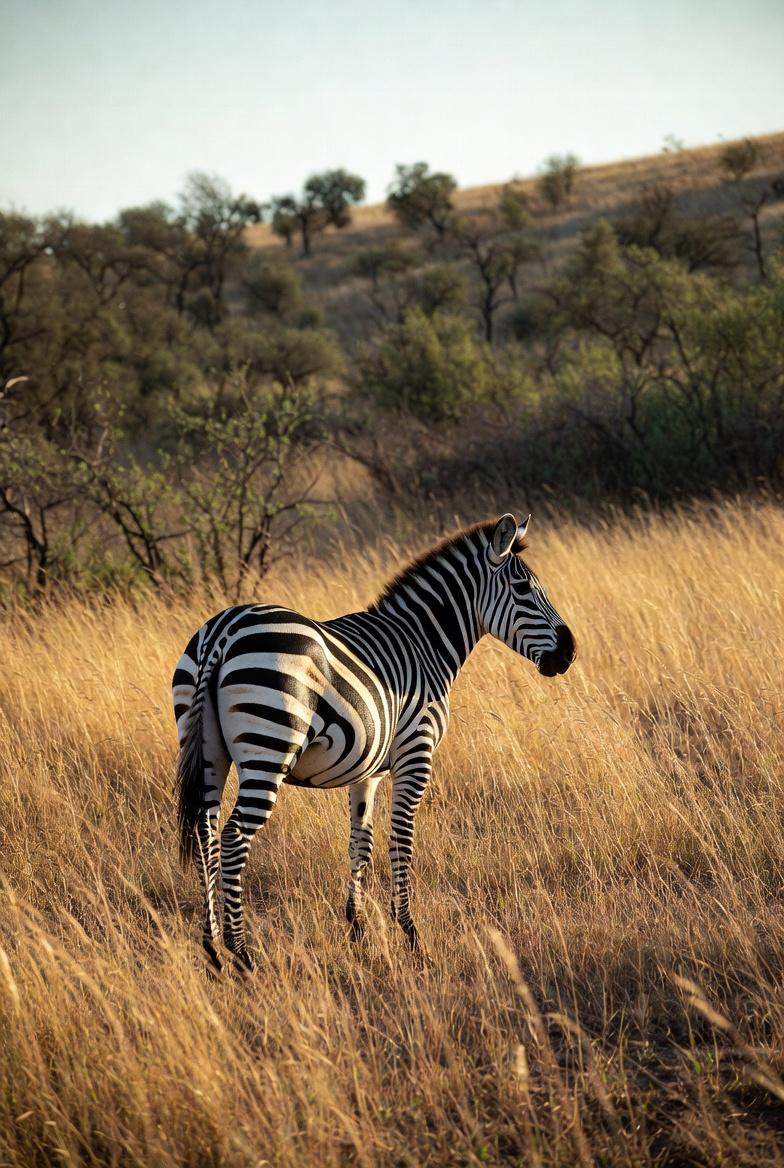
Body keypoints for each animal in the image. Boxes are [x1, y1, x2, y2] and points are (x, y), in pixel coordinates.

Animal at [172, 513, 575, 974]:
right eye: (524, 588)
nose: (570, 652)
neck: (424, 643)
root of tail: (223, 630)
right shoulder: (416, 752)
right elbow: (401, 841)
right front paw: (411, 936)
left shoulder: (367, 771)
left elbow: (360, 844)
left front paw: (358, 930)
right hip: (268, 748)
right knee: (234, 838)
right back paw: (242, 953)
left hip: (207, 749)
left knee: (205, 833)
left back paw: (212, 947)